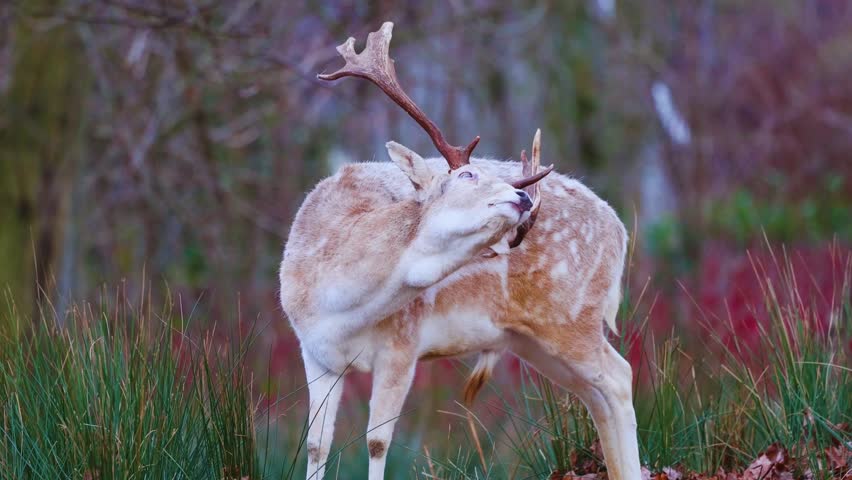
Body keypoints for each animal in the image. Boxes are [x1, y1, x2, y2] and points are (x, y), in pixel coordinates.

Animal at [279, 22, 641, 480]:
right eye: (467, 174)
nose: (525, 198)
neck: (335, 306)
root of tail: (619, 231)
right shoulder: (315, 354)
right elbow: (316, 445)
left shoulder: (403, 346)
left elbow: (377, 443)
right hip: (532, 339)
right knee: (596, 395)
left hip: (573, 318)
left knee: (619, 377)